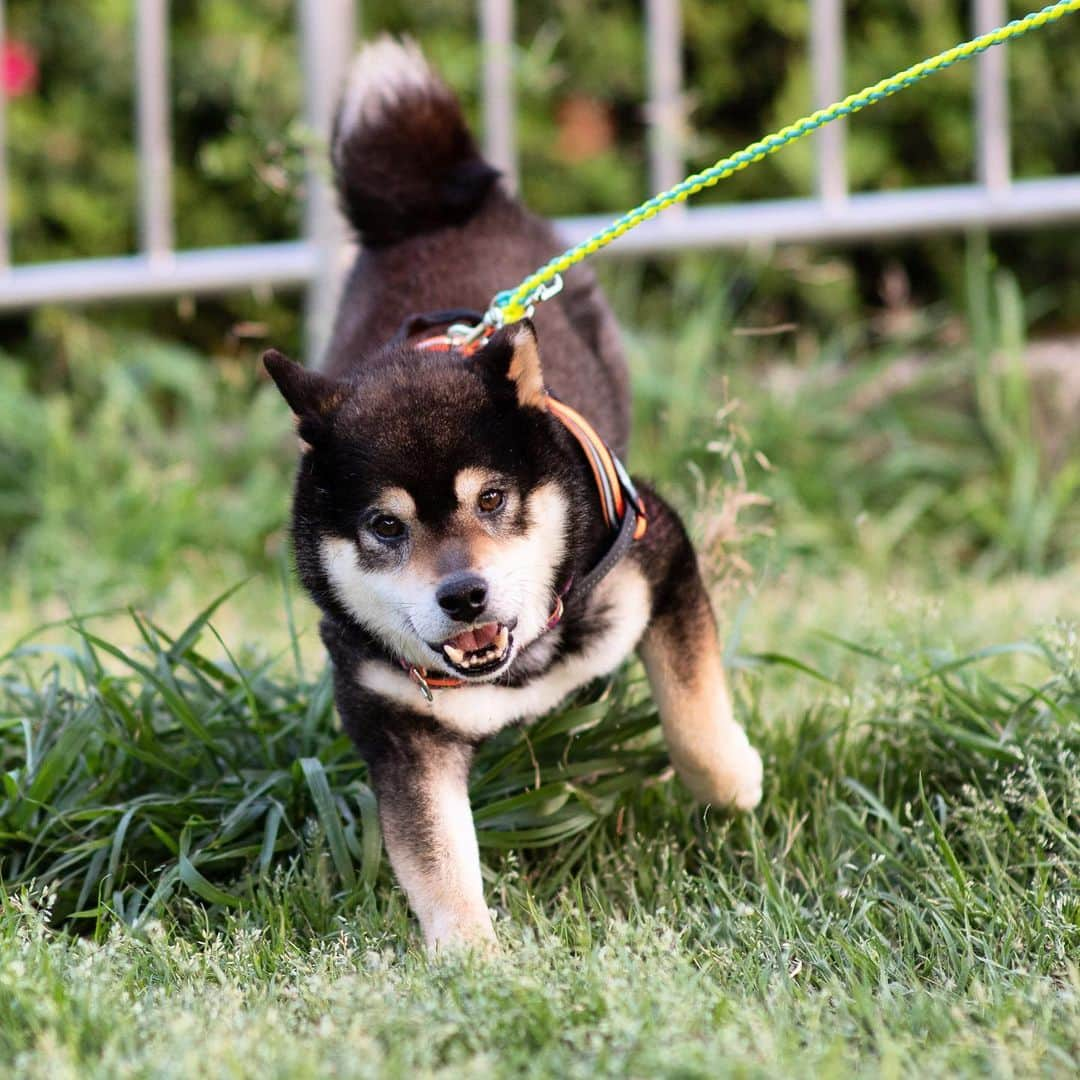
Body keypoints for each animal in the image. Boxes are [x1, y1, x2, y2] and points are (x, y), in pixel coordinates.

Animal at [265, 38, 764, 950]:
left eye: (492, 499)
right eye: (384, 525)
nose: (463, 595)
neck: (514, 667)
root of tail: (430, 211)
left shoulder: (660, 547)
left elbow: (691, 700)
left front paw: (731, 779)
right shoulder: (396, 723)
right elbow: (436, 858)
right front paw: (471, 960)